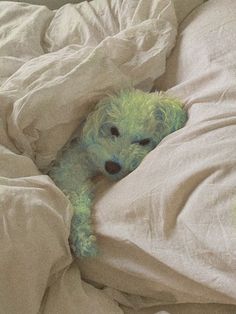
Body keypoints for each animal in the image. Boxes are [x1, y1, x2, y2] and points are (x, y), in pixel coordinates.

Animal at [48, 88, 187, 258]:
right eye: (113, 130)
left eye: (144, 141)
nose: (112, 166)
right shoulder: (69, 168)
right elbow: (77, 201)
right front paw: (84, 241)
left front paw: (83, 240)